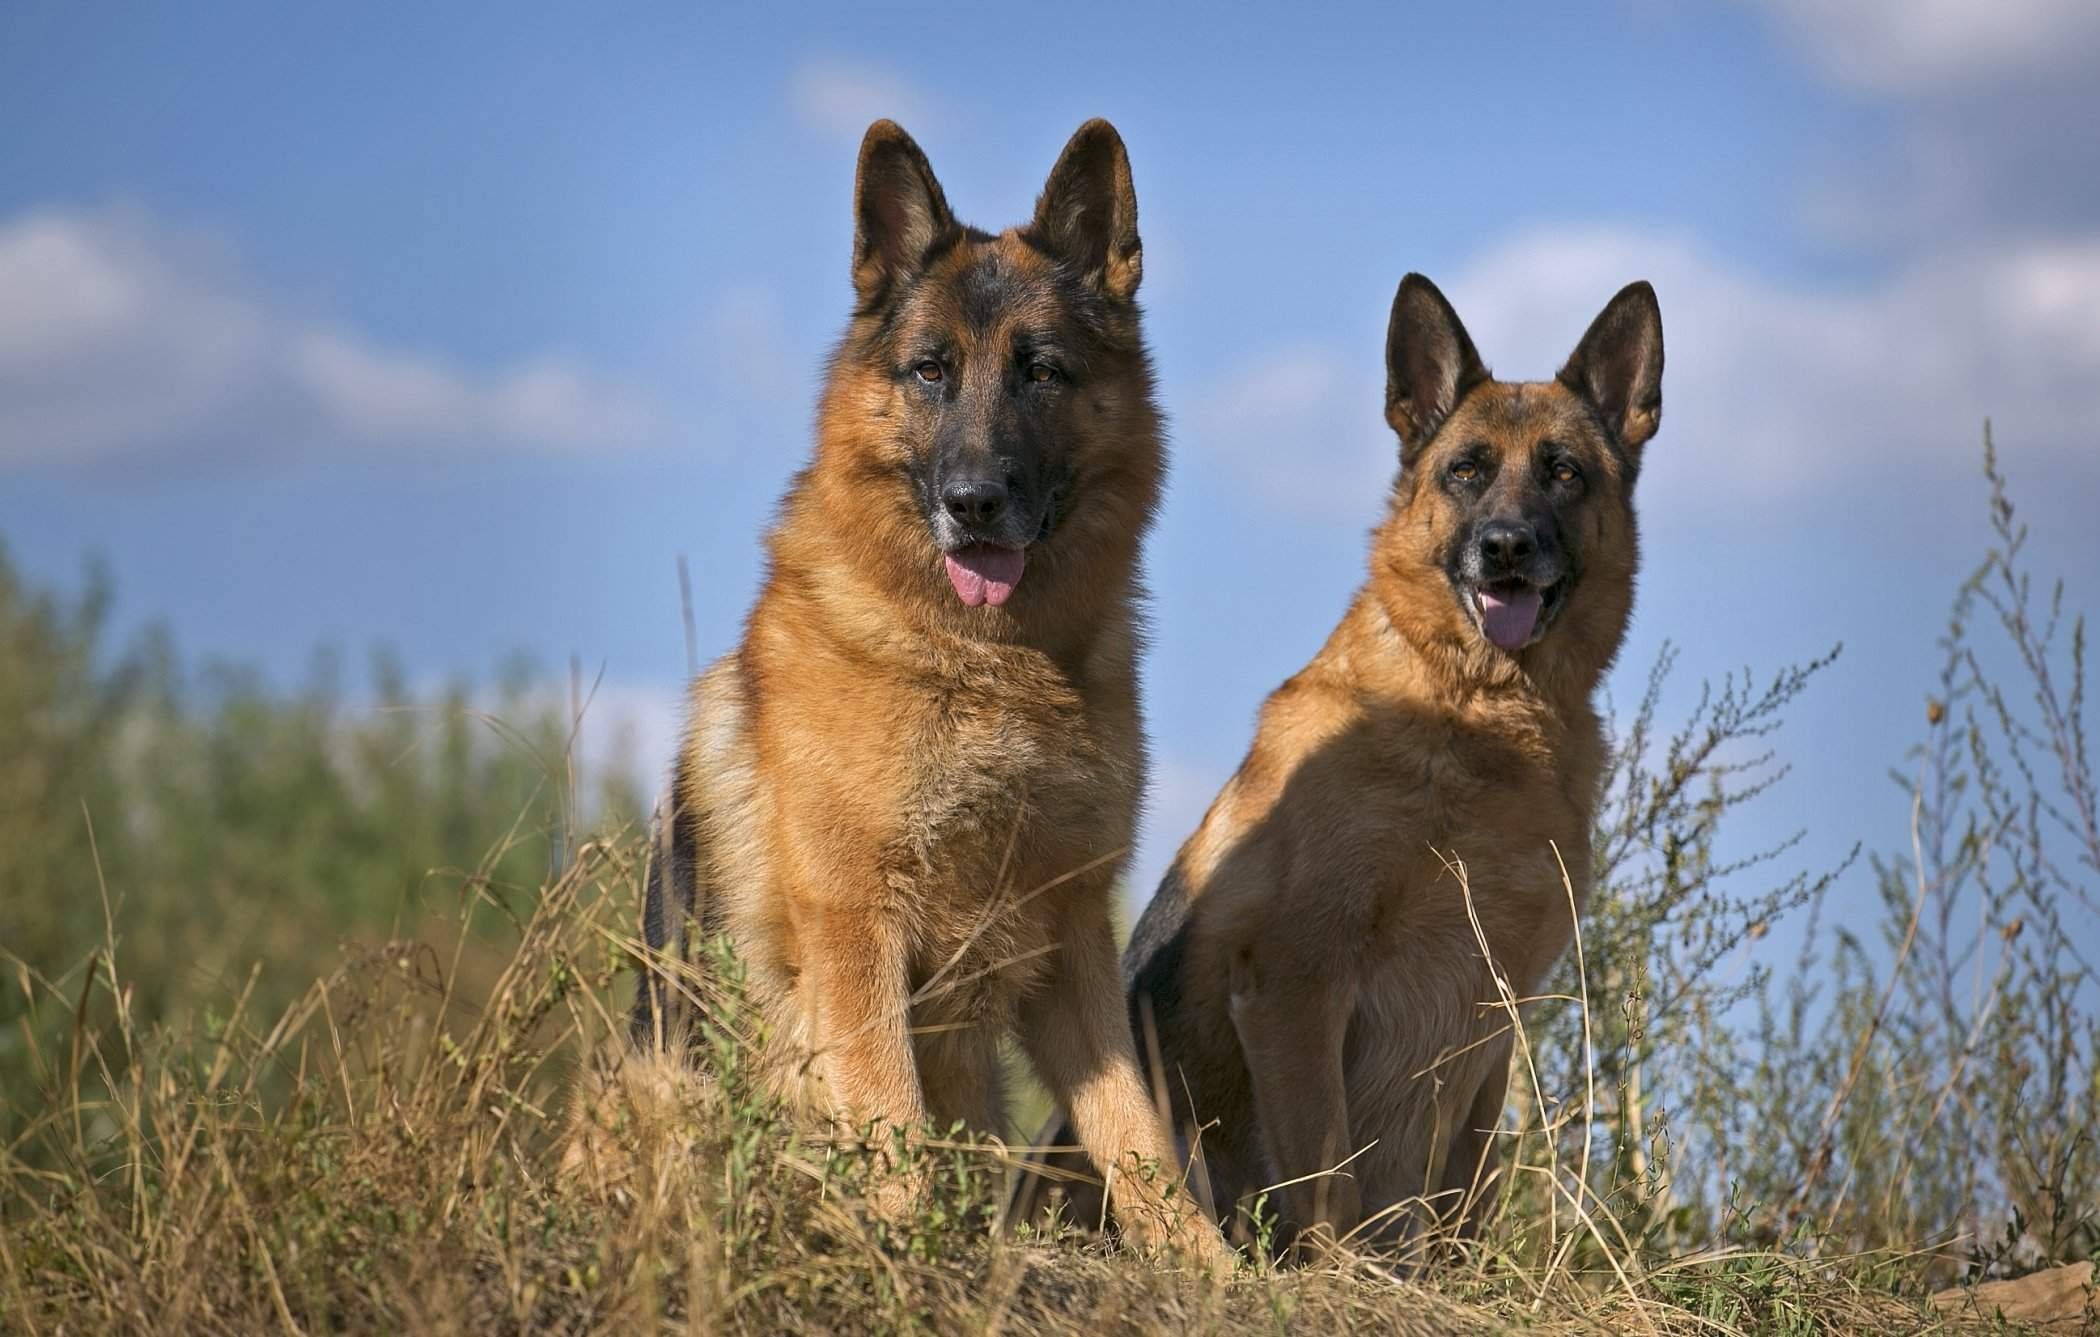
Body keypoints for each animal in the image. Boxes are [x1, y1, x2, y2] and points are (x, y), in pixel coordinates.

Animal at [613, 120, 1226, 1259]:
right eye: (931, 370)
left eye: (1042, 372)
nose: (974, 502)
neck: (982, 664)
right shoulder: (859, 925)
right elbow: (887, 1109)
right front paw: (907, 1248)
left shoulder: (1071, 938)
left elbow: (1135, 1133)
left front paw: (1213, 1268)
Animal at [1024, 268, 1663, 1250]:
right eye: (1466, 470)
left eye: (1565, 471)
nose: (1506, 547)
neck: (1476, 710)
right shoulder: (1296, 987)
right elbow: (1327, 1175)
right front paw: (1339, 1269)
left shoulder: (1494, 1023)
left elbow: (1466, 1189)